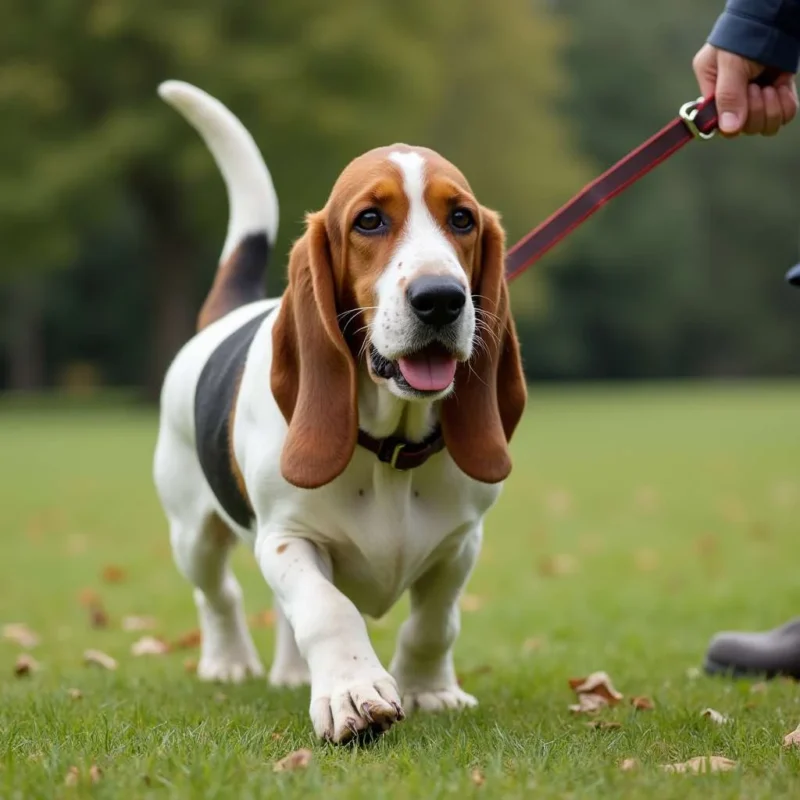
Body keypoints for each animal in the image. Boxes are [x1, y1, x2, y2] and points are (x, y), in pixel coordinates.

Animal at [153, 81, 528, 744]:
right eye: (369, 220)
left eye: (461, 218)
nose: (441, 299)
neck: (390, 449)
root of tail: (229, 312)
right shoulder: (286, 539)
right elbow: (328, 609)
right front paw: (353, 691)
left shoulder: (460, 545)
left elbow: (435, 624)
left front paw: (430, 690)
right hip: (192, 531)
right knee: (218, 594)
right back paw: (229, 661)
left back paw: (289, 673)